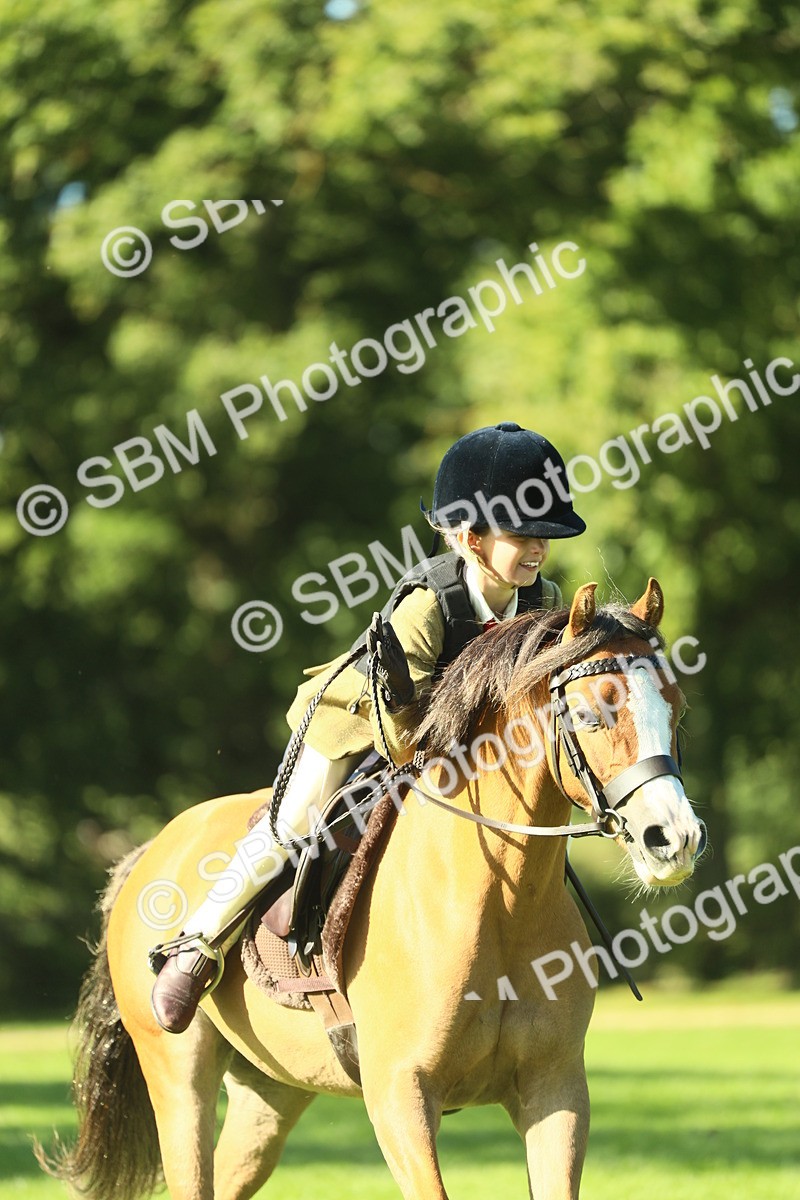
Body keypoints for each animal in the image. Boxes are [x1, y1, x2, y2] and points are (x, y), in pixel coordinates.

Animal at [42, 580, 706, 1200]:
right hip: (179, 1077)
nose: (674, 839)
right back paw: (178, 981)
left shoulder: (556, 1088)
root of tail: (151, 850)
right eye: (593, 715)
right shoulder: (399, 1097)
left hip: (269, 1090)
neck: (499, 905)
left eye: (676, 710)